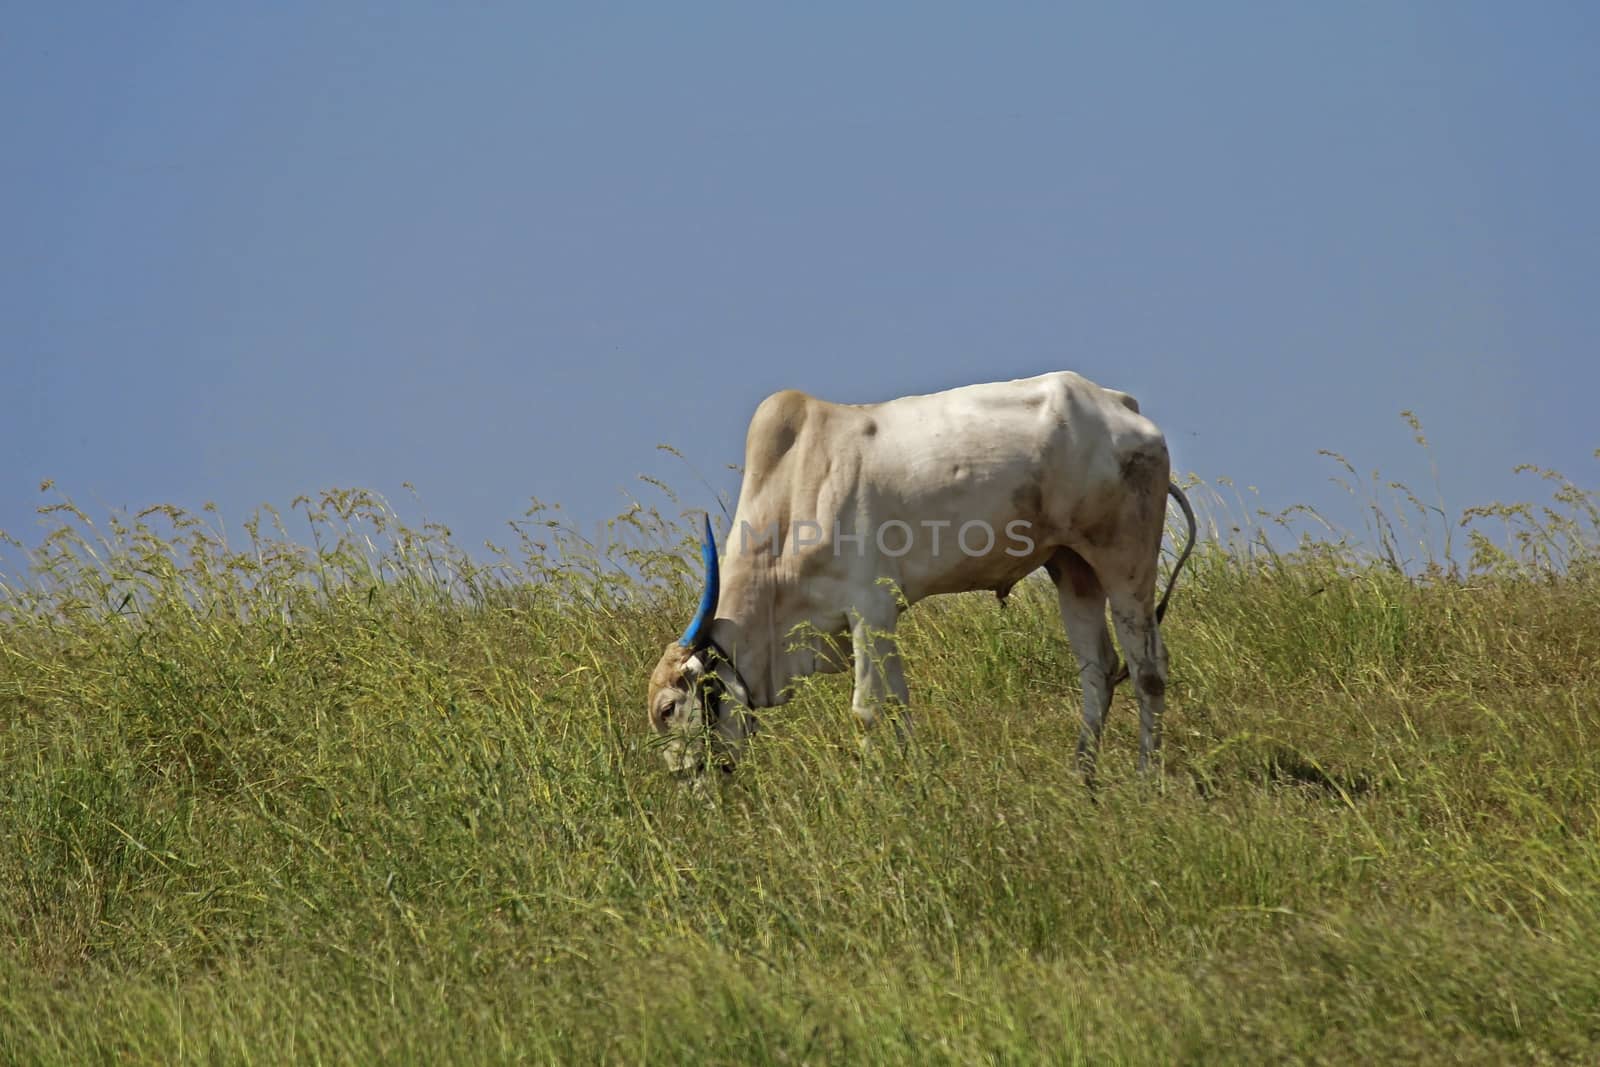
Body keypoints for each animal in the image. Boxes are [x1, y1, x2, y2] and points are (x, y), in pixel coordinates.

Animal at [643, 371, 1196, 780]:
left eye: (669, 709)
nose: (686, 781)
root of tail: (1120, 405)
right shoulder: (882, 620)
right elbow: (900, 705)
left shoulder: (867, 610)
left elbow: (868, 710)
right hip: (1072, 566)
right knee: (1098, 669)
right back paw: (1083, 778)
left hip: (1124, 558)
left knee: (1148, 668)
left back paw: (1146, 779)